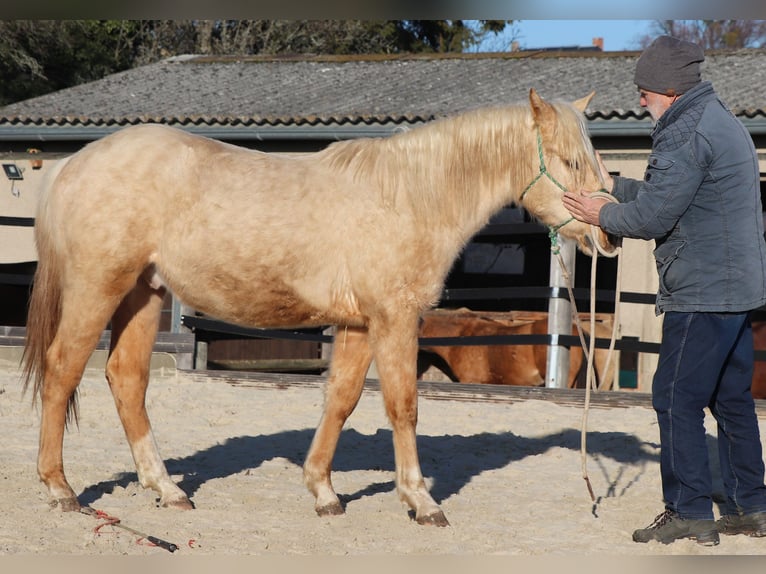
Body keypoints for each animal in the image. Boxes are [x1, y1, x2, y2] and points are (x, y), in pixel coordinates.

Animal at [22, 88, 615, 527]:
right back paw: (60, 489)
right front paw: (420, 501)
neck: (409, 197)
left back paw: (167, 488)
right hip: (98, 288)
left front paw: (324, 492)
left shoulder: (358, 324)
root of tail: (70, 166)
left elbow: (342, 401)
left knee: (126, 380)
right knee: (62, 370)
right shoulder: (395, 319)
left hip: (143, 294)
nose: (608, 236)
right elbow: (404, 406)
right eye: (569, 160)